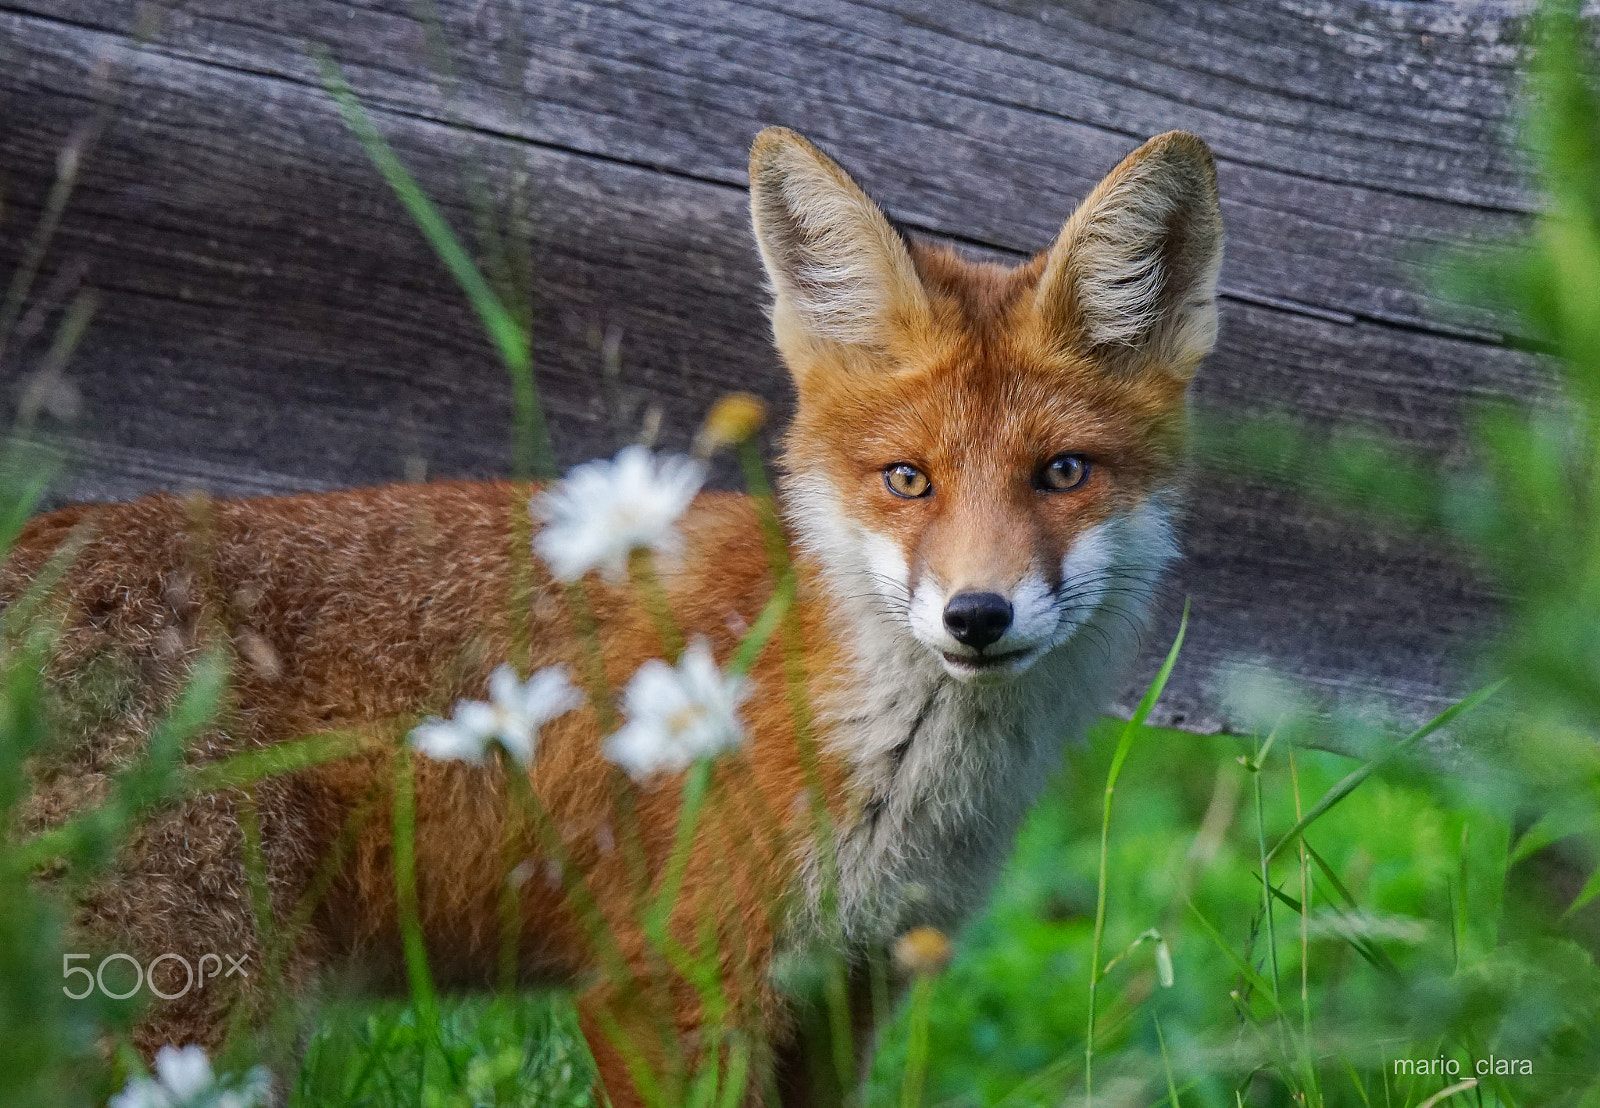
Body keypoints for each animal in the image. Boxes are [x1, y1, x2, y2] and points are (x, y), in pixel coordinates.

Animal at [3, 125, 1222, 1101]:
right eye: (907, 479)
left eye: (1062, 473)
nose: (976, 614)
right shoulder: (666, 988)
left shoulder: (844, 990)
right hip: (195, 1021)